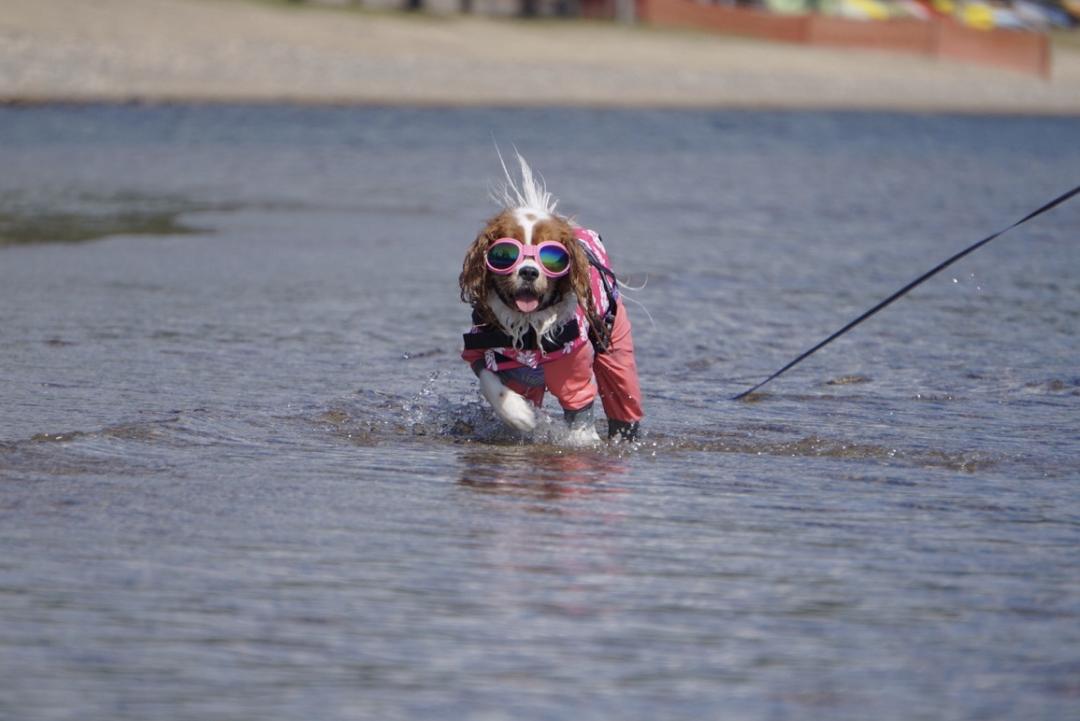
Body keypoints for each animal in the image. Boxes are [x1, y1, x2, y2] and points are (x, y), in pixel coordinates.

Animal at [457, 155, 639, 442]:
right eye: (505, 253)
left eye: (552, 256)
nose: (529, 272)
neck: (528, 325)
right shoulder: (483, 353)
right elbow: (490, 382)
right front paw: (520, 415)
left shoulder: (573, 371)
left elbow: (580, 413)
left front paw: (582, 441)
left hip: (616, 349)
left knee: (623, 397)